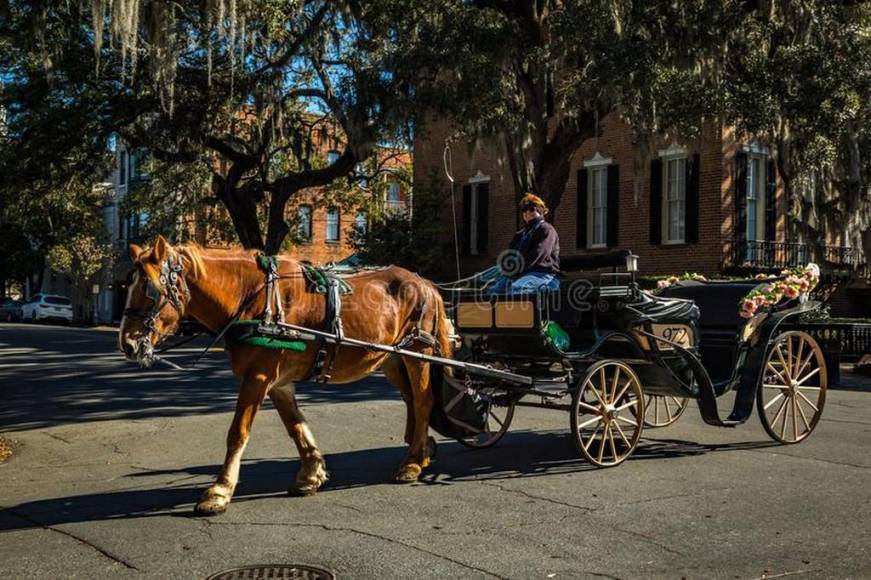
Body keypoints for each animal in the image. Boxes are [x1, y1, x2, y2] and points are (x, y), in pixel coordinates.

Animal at [118, 236, 454, 516]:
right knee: (410, 399)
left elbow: (238, 432)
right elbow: (295, 426)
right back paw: (422, 451)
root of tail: (424, 282)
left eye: (150, 288)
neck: (255, 299)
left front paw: (219, 491)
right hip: (392, 359)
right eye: (126, 286)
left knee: (423, 401)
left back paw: (412, 463)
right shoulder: (277, 381)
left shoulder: (258, 375)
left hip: (418, 353)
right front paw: (311, 474)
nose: (128, 344)